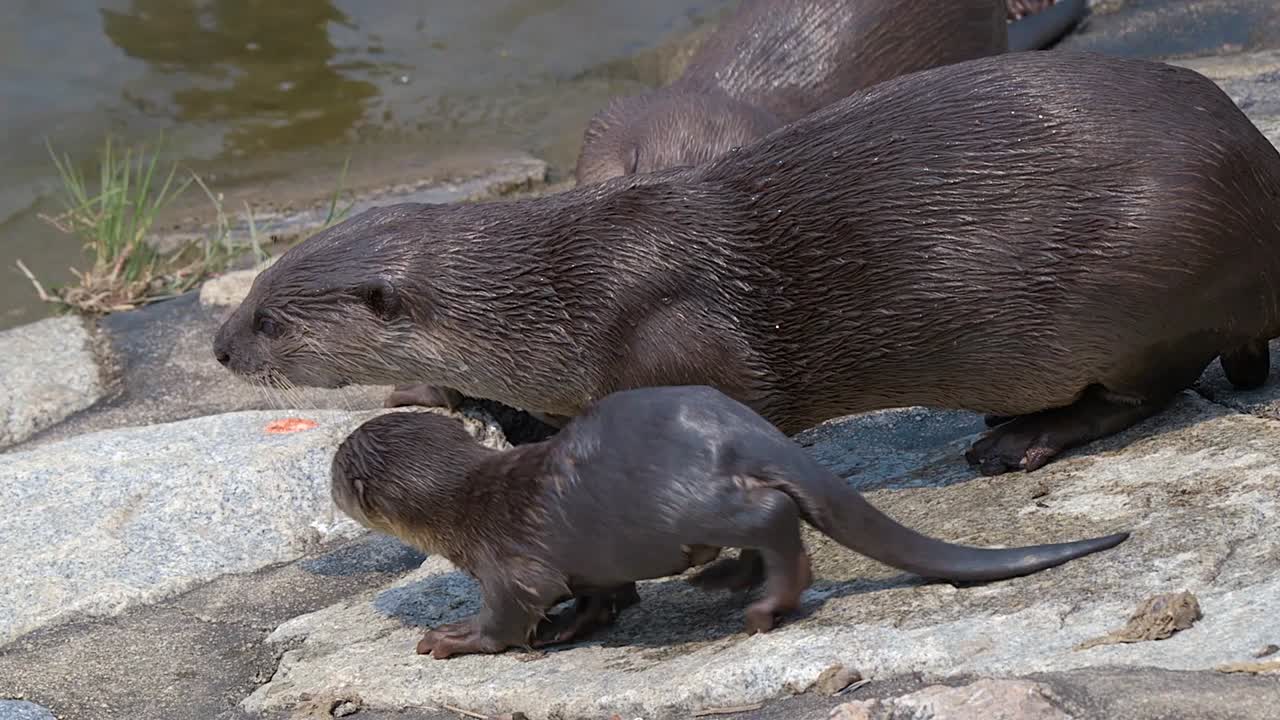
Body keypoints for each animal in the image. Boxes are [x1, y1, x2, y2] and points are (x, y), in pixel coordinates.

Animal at [213, 50, 1280, 475]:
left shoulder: (671, 331)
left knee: (1153, 387)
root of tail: (1258, 178)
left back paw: (1024, 435)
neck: (559, 297)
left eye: (270, 318)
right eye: (253, 288)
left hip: (1151, 268)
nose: (219, 347)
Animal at [331, 386, 1129, 659]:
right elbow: (600, 596)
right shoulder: (589, 565)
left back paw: (763, 606)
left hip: (673, 500)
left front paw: (453, 637)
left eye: (335, 473)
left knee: (776, 514)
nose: (330, 479)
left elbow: (510, 612)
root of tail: (745, 430)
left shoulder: (509, 561)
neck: (465, 505)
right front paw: (573, 627)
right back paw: (723, 579)